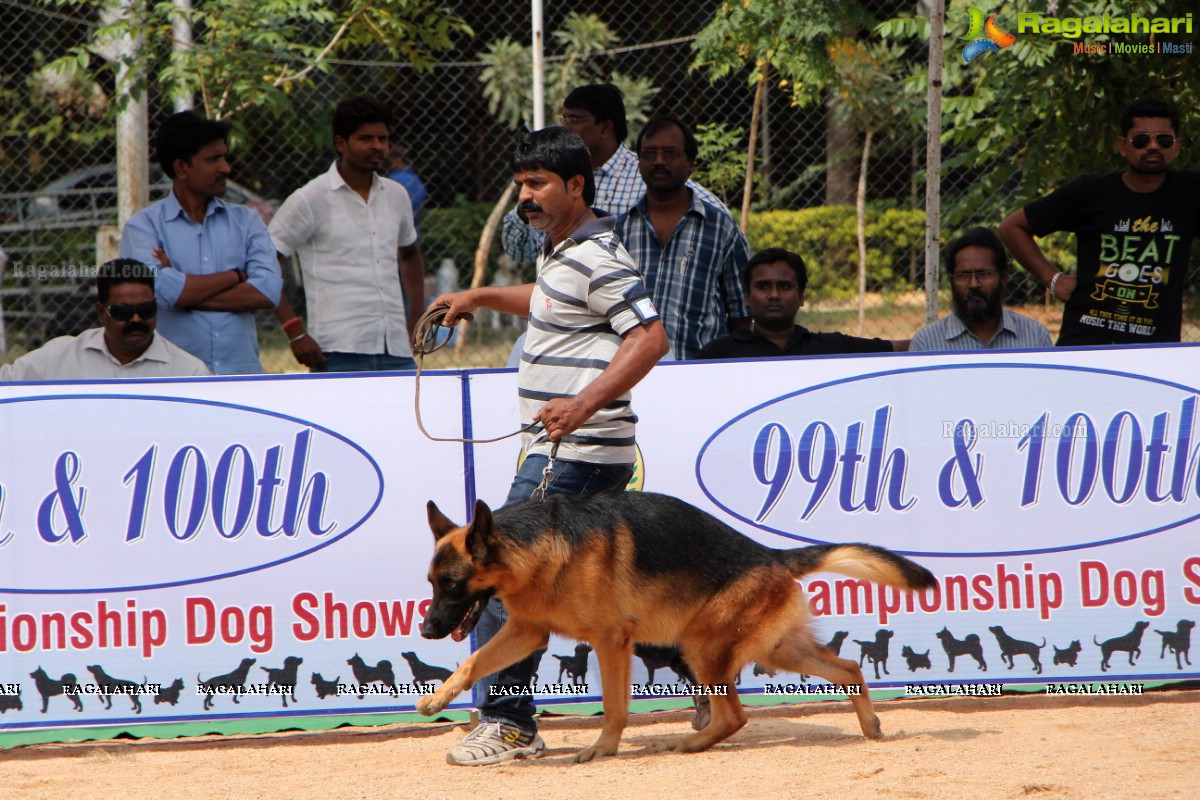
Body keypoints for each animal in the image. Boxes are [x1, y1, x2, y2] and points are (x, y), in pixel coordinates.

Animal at [417, 491, 931, 762]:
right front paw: (438, 698)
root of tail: (769, 555)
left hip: (702, 646)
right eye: (432, 583)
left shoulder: (611, 642)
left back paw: (689, 741)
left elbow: (615, 707)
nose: (426, 630)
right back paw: (870, 726)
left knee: (735, 715)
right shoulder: (526, 633)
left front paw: (603, 749)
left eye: (453, 583)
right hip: (776, 650)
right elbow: (474, 664)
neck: (539, 547)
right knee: (849, 669)